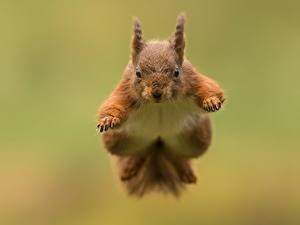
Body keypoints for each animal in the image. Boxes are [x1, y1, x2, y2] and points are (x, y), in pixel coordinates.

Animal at [96, 14, 225, 197]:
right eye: (138, 73)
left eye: (177, 72)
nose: (157, 93)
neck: (159, 104)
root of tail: (158, 143)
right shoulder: (125, 90)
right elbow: (113, 104)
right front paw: (108, 119)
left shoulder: (193, 80)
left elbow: (211, 88)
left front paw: (211, 101)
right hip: (117, 141)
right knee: (141, 151)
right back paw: (130, 168)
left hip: (198, 139)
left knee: (174, 154)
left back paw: (184, 171)